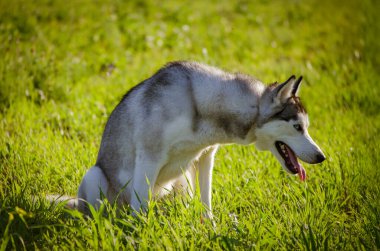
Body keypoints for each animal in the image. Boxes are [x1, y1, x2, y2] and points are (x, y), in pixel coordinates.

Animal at [76, 61, 324, 218]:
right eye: (297, 127)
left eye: (306, 127)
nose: (321, 157)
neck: (198, 104)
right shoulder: (149, 157)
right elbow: (140, 209)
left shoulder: (205, 156)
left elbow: (206, 202)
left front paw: (209, 227)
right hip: (94, 176)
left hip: (182, 180)